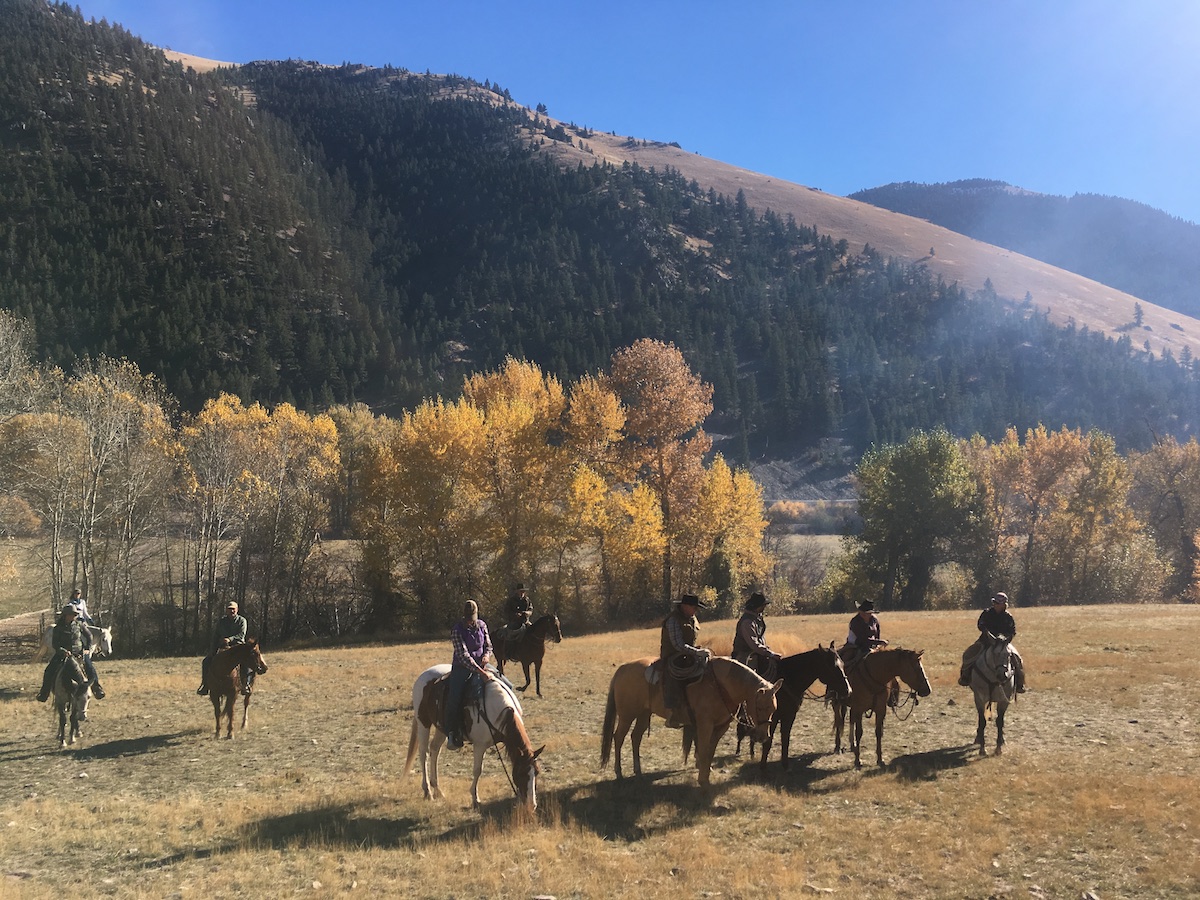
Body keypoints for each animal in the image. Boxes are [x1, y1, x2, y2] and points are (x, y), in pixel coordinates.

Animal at [408, 662, 549, 816]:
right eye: (521, 774)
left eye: (537, 772)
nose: (532, 806)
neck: (497, 710)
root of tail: (424, 674)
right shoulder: (480, 745)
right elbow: (477, 770)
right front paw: (475, 800)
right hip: (423, 722)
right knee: (424, 753)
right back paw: (428, 791)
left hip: (441, 728)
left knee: (434, 749)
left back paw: (438, 790)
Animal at [600, 657, 787, 787]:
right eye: (760, 707)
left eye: (774, 708)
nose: (763, 737)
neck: (720, 685)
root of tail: (623, 669)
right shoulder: (705, 725)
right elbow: (703, 749)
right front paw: (702, 778)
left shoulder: (720, 727)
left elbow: (710, 750)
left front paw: (706, 771)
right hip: (627, 715)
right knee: (618, 738)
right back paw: (618, 772)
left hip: (643, 714)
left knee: (636, 737)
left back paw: (637, 770)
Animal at [739, 643, 854, 772]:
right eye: (832, 666)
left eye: (843, 664)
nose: (848, 690)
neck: (787, 681)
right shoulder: (772, 718)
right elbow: (768, 741)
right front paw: (763, 768)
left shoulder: (790, 715)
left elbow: (785, 739)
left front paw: (785, 766)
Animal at [969, 633, 1017, 763]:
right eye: (994, 654)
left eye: (1009, 654)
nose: (1002, 675)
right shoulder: (979, 699)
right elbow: (982, 721)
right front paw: (982, 749)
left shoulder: (1004, 700)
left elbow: (1000, 722)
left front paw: (998, 749)